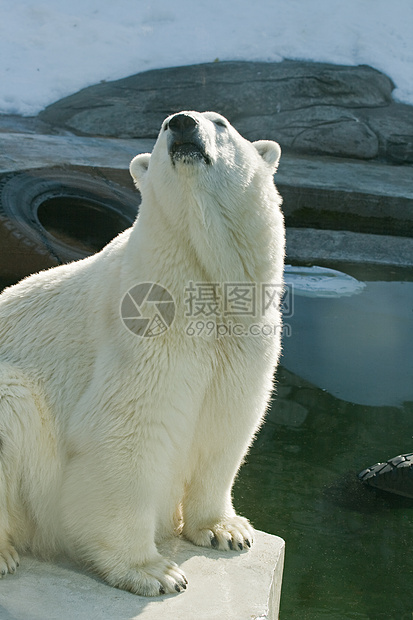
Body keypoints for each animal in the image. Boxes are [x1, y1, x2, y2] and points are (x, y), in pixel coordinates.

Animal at [0, 111, 284, 596]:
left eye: (220, 122)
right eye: (164, 124)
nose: (183, 123)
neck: (196, 283)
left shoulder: (245, 337)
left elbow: (228, 420)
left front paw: (225, 529)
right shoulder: (145, 333)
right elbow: (127, 431)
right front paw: (154, 571)